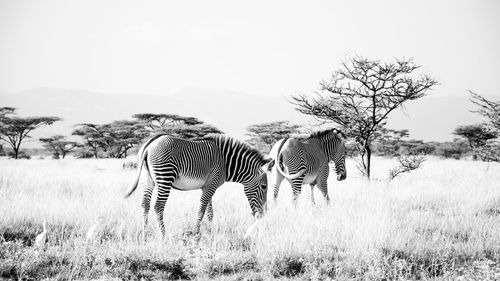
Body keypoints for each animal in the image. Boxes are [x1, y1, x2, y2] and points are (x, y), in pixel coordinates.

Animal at [125, 133, 274, 236]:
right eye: (264, 187)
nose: (264, 214)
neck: (226, 164)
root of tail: (150, 144)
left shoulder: (208, 186)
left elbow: (209, 212)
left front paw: (210, 232)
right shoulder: (211, 185)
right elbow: (202, 210)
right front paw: (197, 234)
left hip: (147, 180)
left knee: (145, 204)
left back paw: (145, 234)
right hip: (165, 177)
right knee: (158, 206)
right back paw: (163, 236)